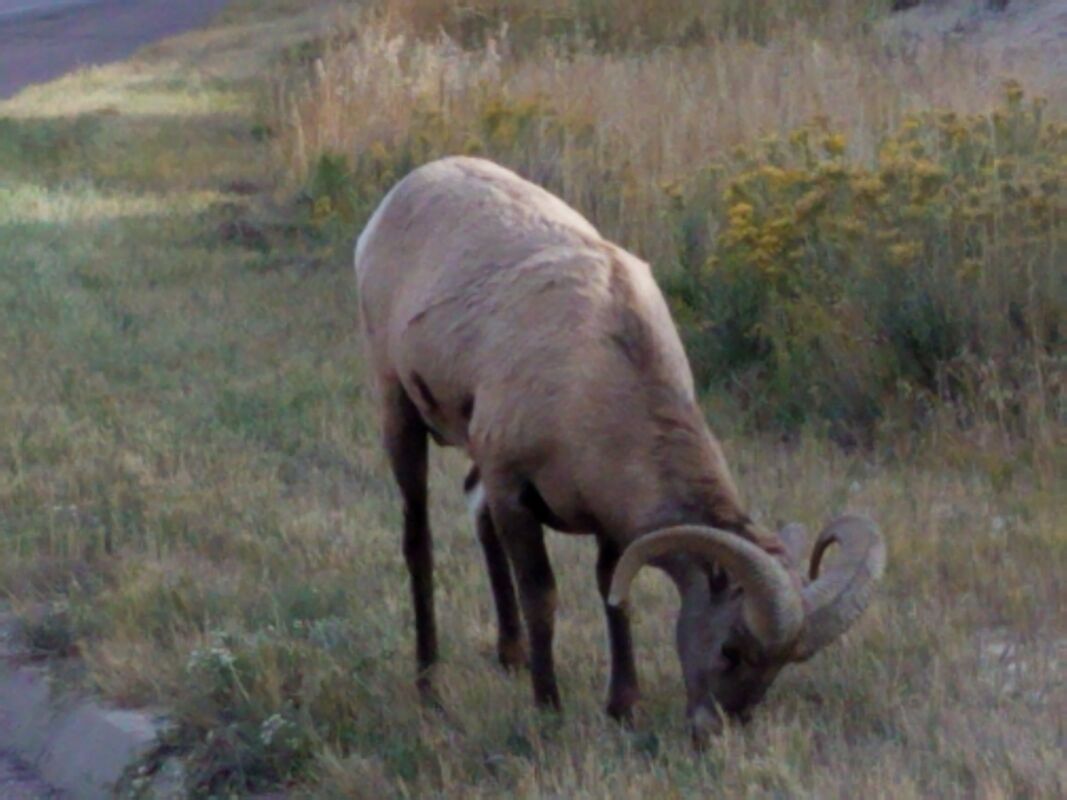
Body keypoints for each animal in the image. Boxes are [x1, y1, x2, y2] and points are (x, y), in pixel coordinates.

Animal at [354, 156, 879, 738]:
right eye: (731, 649)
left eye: (781, 666)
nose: (713, 730)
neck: (599, 373)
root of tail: (410, 186)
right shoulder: (515, 490)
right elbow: (542, 594)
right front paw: (549, 707)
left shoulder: (602, 514)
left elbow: (611, 589)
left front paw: (624, 705)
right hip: (399, 411)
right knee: (418, 542)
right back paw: (430, 684)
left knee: (475, 510)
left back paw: (510, 657)